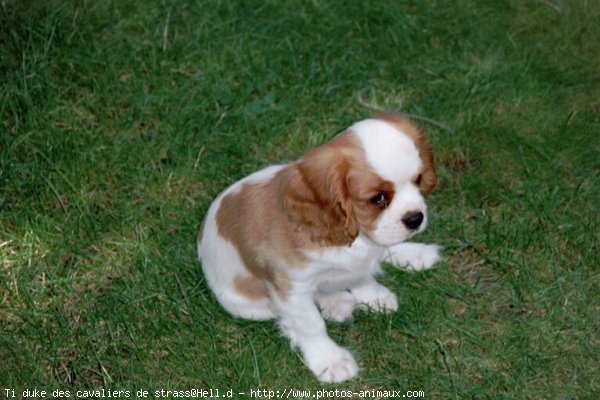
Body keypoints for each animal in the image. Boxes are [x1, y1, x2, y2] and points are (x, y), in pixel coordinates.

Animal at [197, 112, 440, 382]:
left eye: (418, 180)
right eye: (378, 199)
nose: (415, 218)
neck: (354, 237)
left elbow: (362, 274)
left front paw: (374, 293)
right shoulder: (292, 286)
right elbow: (310, 324)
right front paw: (330, 360)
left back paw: (415, 254)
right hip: (245, 306)